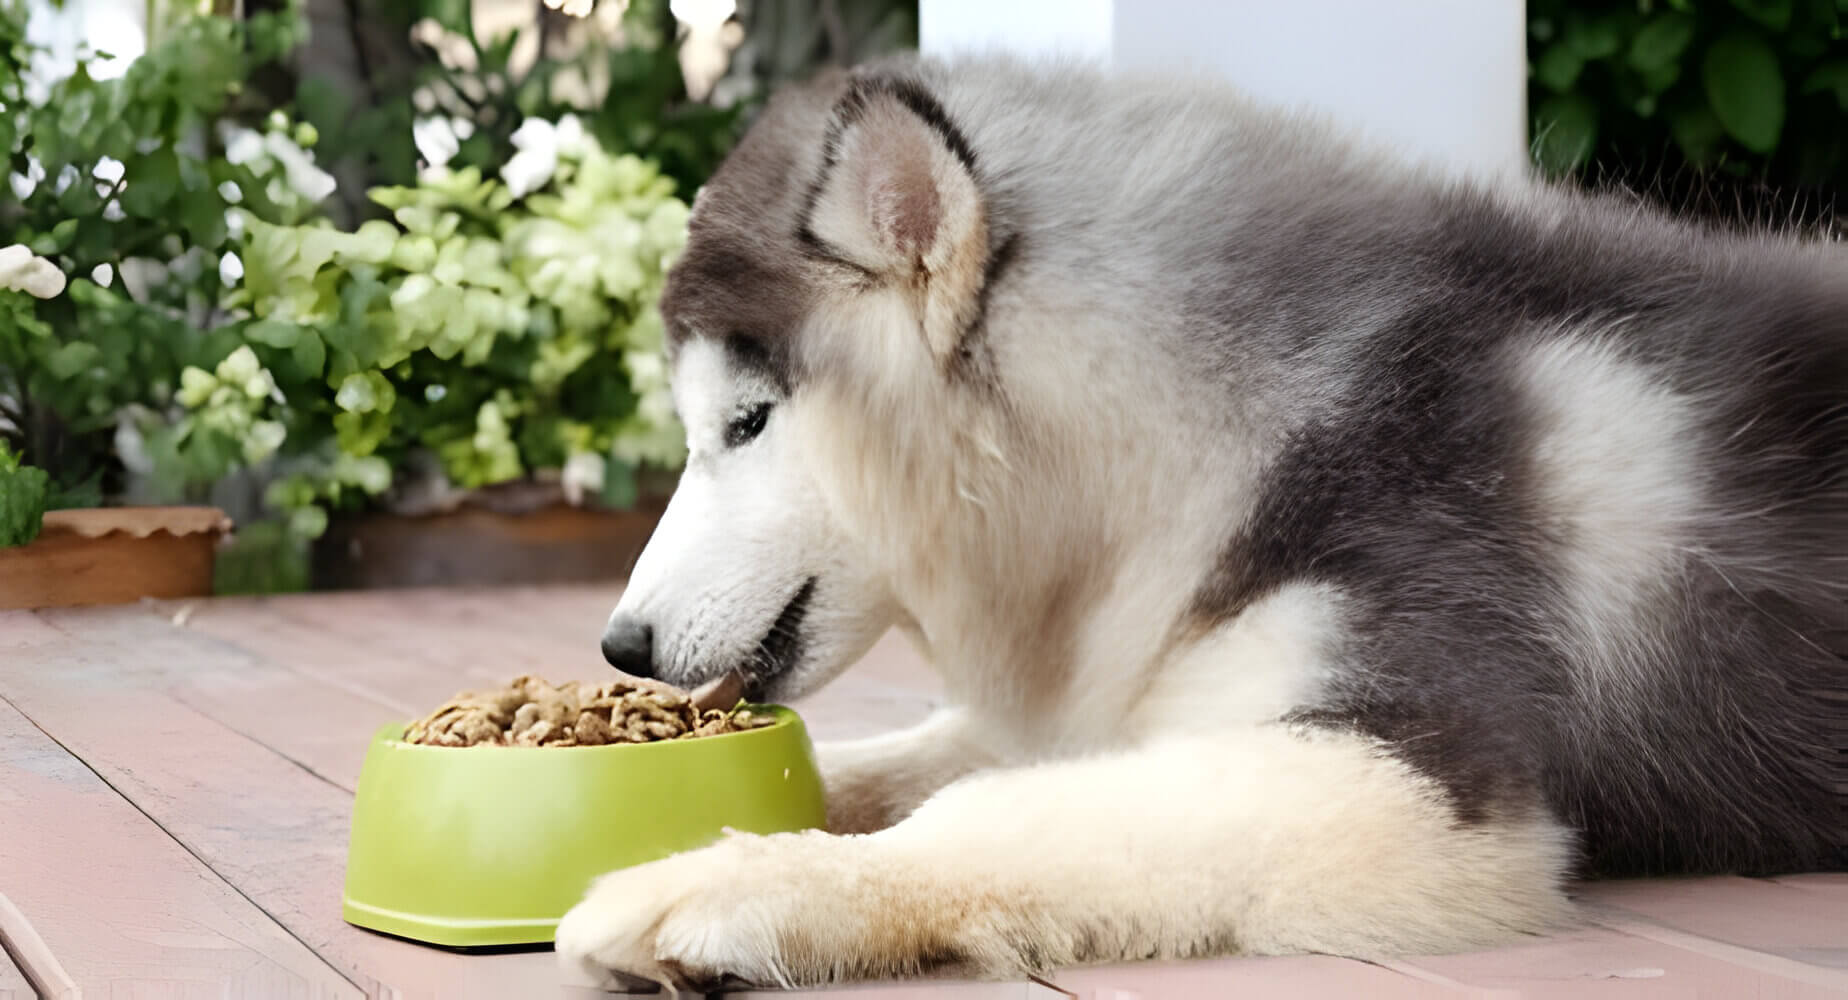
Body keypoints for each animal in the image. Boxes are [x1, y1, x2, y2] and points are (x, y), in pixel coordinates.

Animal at [550, 50, 1848, 983]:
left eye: (748, 422)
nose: (623, 643)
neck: (1230, 429)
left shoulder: (1402, 774)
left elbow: (994, 810)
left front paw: (720, 884)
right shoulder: (1135, 673)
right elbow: (886, 761)